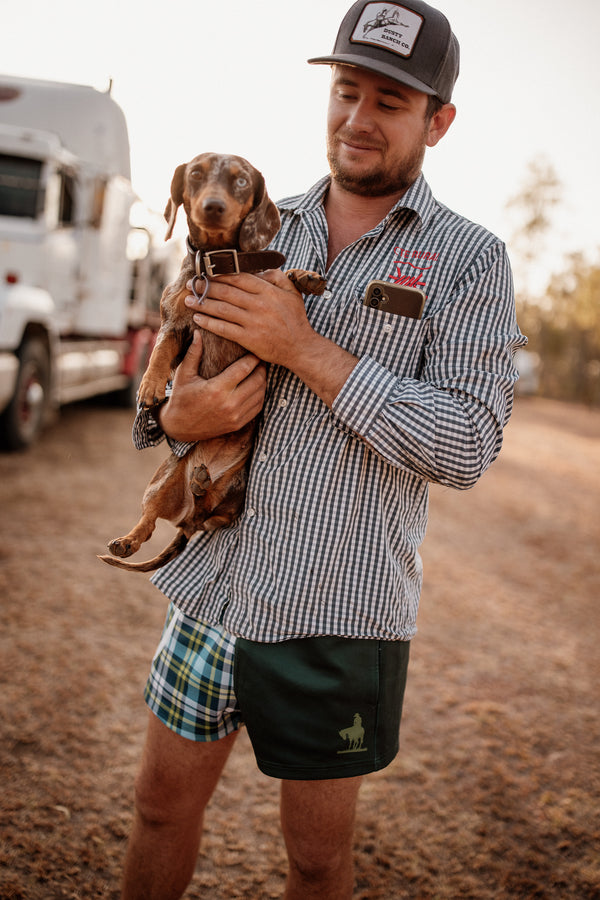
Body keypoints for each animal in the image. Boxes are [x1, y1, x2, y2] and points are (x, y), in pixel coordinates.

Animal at [98, 152, 326, 572]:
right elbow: (160, 350)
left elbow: (280, 277)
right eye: (196, 174)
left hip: (237, 496)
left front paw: (304, 277)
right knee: (152, 520)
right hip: (163, 478)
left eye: (241, 181)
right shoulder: (174, 323)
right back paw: (133, 535)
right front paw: (150, 385)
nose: (213, 207)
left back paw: (203, 486)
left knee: (208, 516)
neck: (217, 269)